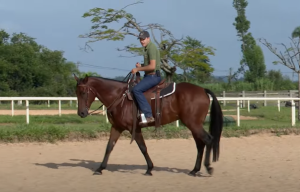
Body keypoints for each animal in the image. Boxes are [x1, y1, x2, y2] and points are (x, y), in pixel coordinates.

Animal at [72, 72, 223, 177]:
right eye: (76, 92)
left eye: (84, 92)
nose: (81, 113)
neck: (120, 98)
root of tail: (202, 90)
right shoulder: (117, 127)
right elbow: (109, 147)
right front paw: (100, 168)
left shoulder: (134, 128)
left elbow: (143, 147)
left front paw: (149, 169)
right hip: (194, 125)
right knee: (200, 144)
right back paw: (194, 170)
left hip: (193, 124)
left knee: (208, 140)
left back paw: (208, 167)